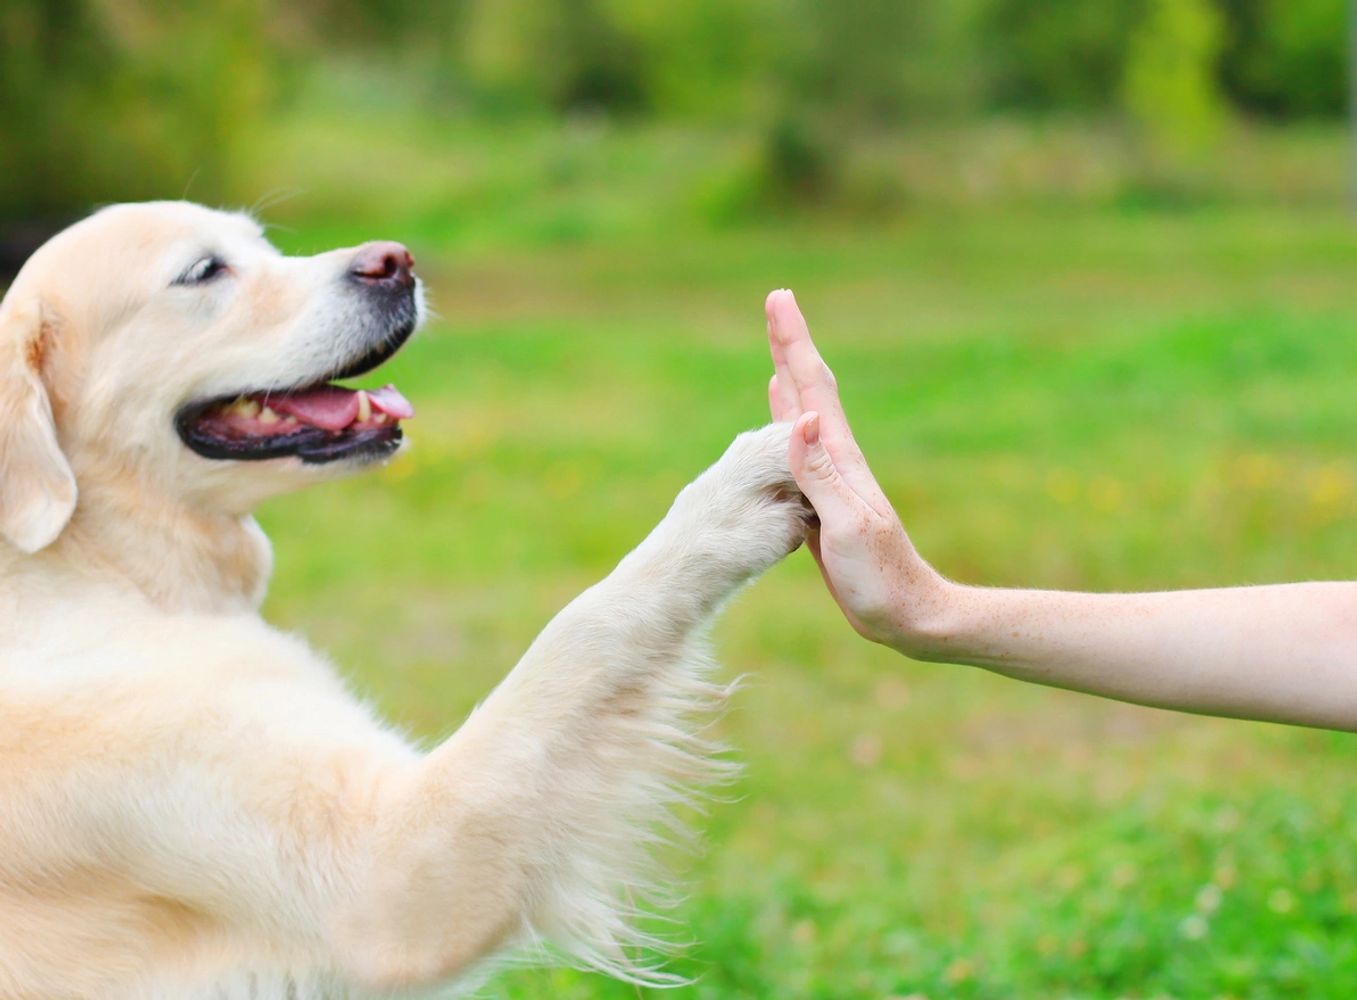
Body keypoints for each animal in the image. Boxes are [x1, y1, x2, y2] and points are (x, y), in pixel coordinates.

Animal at [0, 199, 803, 993]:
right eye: (202, 271)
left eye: (263, 245)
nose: (395, 262)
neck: (99, 567)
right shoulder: (385, 877)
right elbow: (583, 629)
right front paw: (734, 496)